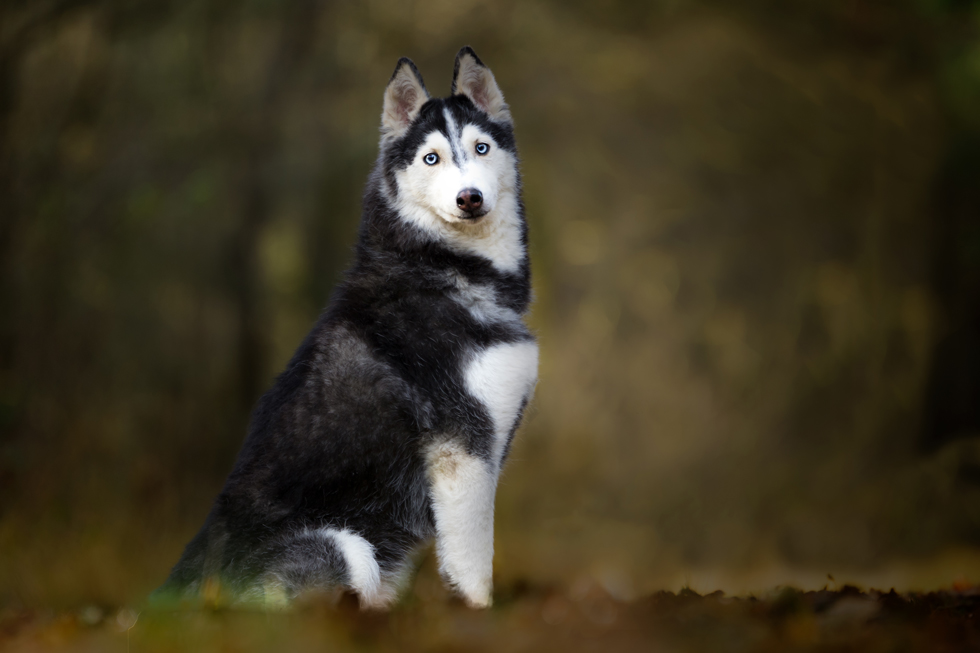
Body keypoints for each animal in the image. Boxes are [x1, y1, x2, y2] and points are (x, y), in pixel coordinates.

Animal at [161, 48, 540, 608]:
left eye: (481, 147)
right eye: (431, 159)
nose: (469, 197)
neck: (439, 267)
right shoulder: (463, 450)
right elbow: (474, 566)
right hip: (347, 546)